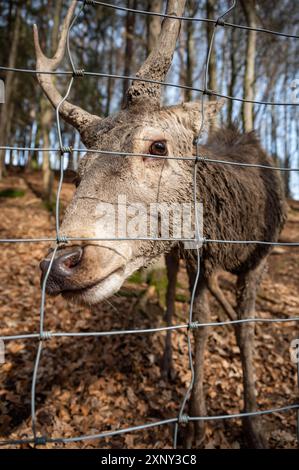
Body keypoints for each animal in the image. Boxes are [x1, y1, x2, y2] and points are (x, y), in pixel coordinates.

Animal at [37, 0, 286, 448]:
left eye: (157, 145)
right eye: (79, 168)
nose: (60, 263)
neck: (239, 230)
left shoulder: (260, 259)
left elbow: (246, 329)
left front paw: (254, 423)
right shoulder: (200, 260)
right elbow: (199, 325)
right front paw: (199, 424)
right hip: (175, 254)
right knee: (170, 294)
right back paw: (170, 362)